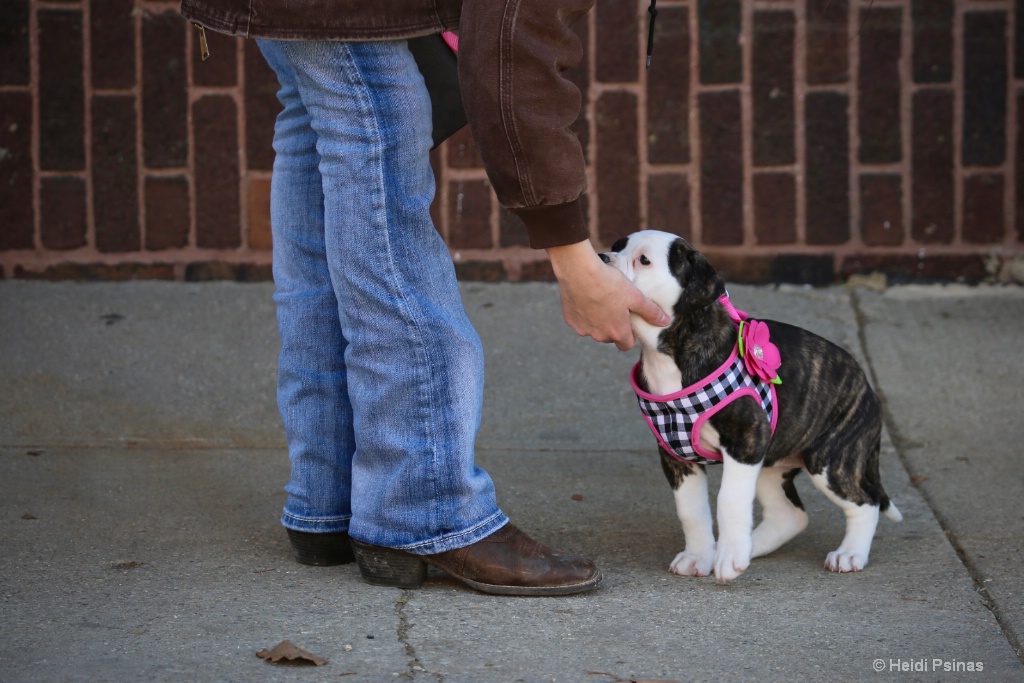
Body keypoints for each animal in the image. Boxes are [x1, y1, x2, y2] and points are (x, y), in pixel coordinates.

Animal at [602, 232, 901, 585]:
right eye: (616, 247)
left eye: (644, 260)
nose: (602, 259)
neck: (668, 352)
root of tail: (867, 388)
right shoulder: (678, 456)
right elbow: (691, 510)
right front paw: (700, 556)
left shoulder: (745, 441)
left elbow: (728, 500)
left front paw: (730, 559)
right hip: (772, 463)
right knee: (790, 515)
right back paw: (744, 547)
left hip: (830, 460)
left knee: (865, 502)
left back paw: (849, 553)